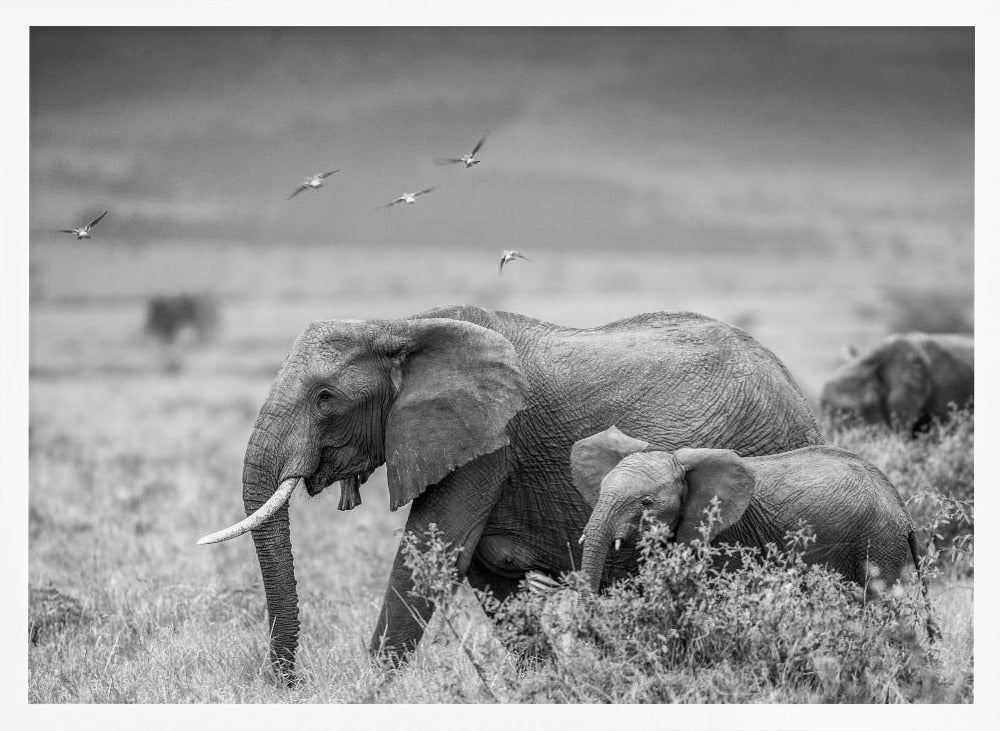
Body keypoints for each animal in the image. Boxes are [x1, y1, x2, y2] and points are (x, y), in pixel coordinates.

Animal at [197, 304, 822, 682]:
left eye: (325, 398)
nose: (285, 683)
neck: (402, 326)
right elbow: (486, 569)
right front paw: (548, 685)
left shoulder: (489, 440)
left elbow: (433, 550)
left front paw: (368, 690)